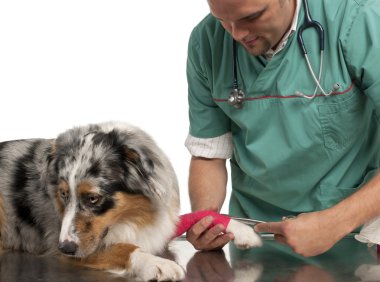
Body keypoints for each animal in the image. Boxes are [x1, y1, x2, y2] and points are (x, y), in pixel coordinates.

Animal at [0, 122, 186, 280]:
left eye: (93, 198)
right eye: (63, 194)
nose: (65, 248)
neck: (130, 218)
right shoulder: (62, 242)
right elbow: (121, 248)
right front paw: (156, 263)